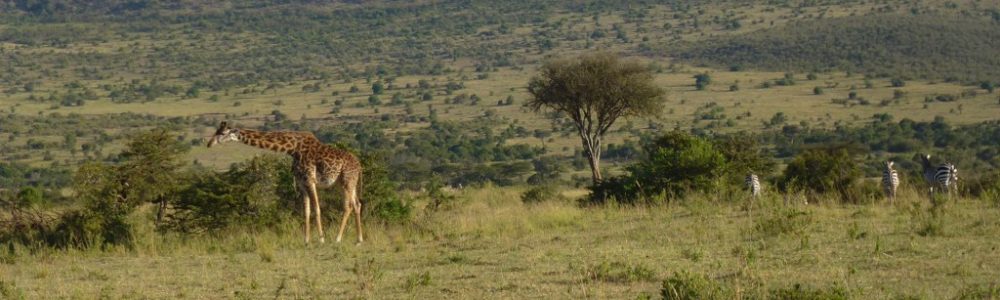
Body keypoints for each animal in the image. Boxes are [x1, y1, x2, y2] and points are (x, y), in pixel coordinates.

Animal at [206, 122, 364, 244]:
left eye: (222, 133)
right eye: (216, 131)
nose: (208, 144)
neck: (292, 149)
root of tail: (359, 166)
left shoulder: (310, 180)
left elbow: (317, 209)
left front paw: (321, 239)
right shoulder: (301, 183)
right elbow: (306, 211)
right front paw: (306, 241)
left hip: (347, 181)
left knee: (348, 206)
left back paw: (338, 239)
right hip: (347, 183)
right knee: (357, 204)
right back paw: (359, 240)